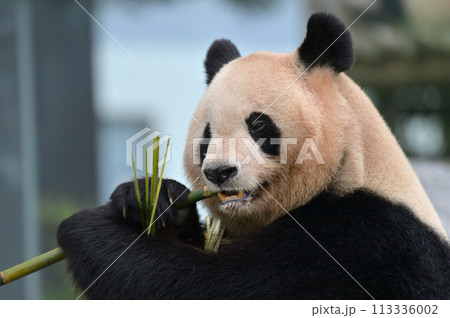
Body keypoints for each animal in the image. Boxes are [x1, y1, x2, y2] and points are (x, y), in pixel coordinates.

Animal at [57, 12, 450, 300]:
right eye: (207, 135)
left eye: (259, 125)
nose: (219, 172)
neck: (352, 165)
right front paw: (152, 199)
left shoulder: (364, 240)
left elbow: (215, 287)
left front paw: (85, 227)